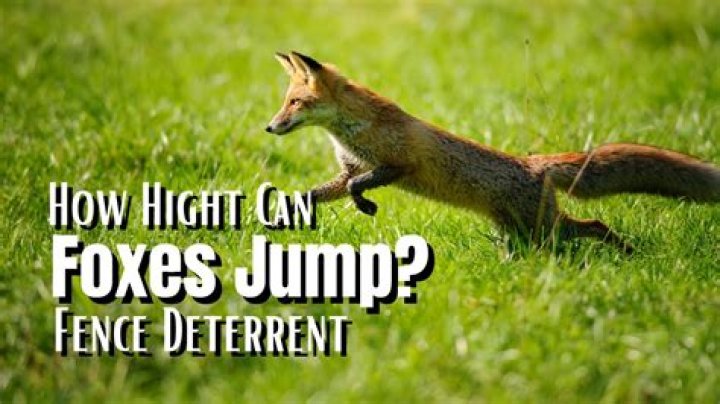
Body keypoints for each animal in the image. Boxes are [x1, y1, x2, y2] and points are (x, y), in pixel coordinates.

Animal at [265, 51, 720, 254]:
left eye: (295, 103)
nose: (269, 127)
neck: (351, 132)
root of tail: (534, 163)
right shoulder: (347, 171)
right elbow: (319, 192)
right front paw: (287, 213)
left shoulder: (400, 163)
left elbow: (361, 184)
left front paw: (366, 206)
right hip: (525, 230)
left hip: (543, 228)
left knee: (595, 224)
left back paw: (628, 251)